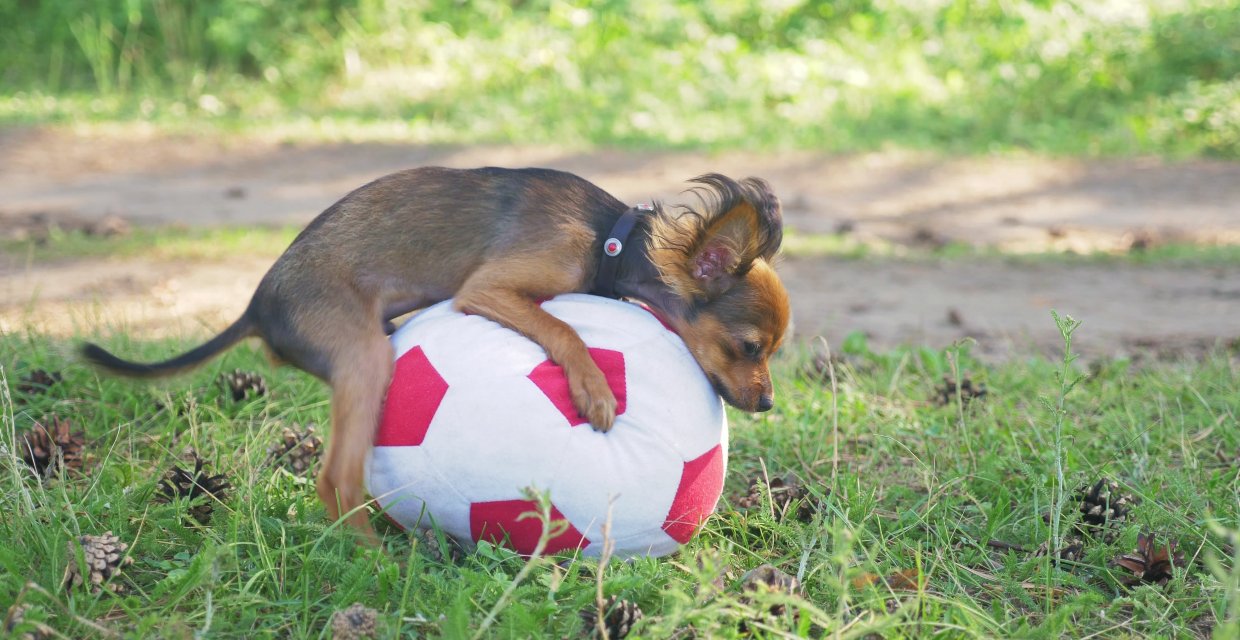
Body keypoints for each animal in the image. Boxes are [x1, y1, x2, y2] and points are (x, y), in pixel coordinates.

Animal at [82, 167, 788, 543]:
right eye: (748, 347)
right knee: (335, 477)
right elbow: (562, 328)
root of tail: (258, 307)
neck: (610, 243)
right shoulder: (489, 290)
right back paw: (373, 558)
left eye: (771, 354)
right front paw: (593, 386)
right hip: (365, 358)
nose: (768, 402)